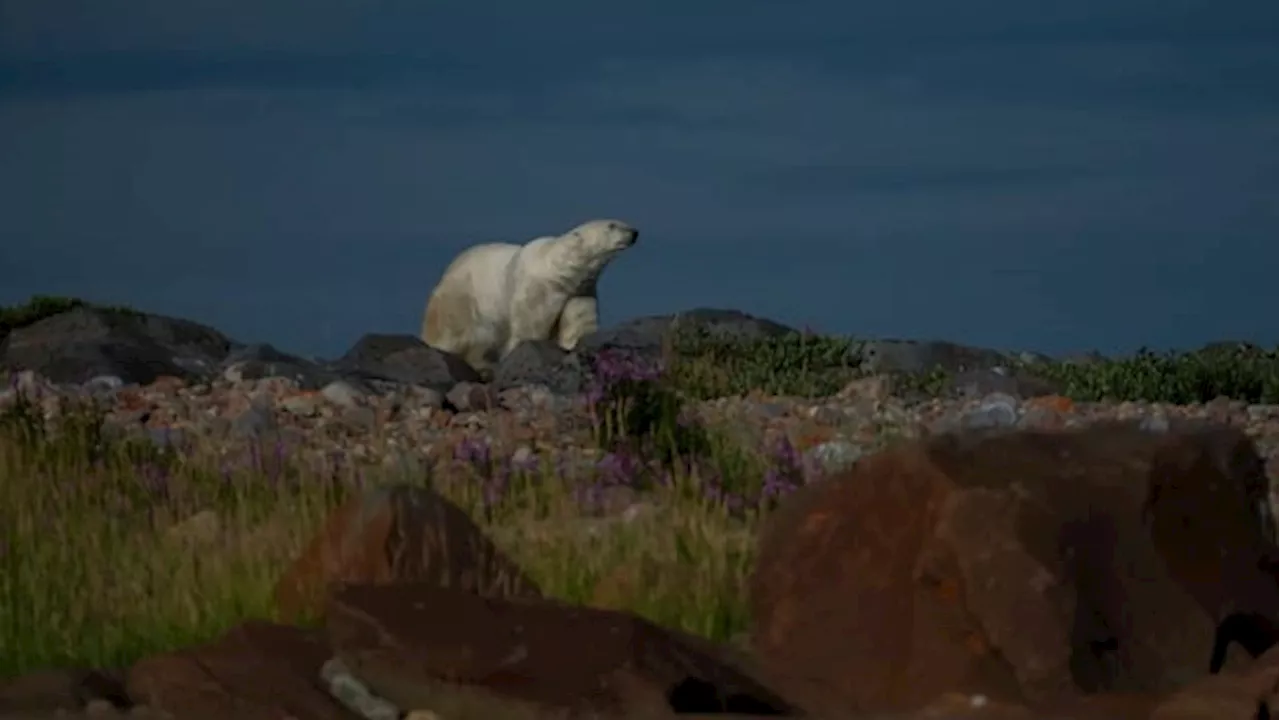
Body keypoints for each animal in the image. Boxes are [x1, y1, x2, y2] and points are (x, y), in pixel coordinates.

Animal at [419, 217, 640, 368]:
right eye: (612, 225)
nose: (634, 232)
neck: (560, 272)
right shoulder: (538, 289)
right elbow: (531, 325)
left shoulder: (580, 290)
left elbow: (579, 321)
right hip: (462, 301)